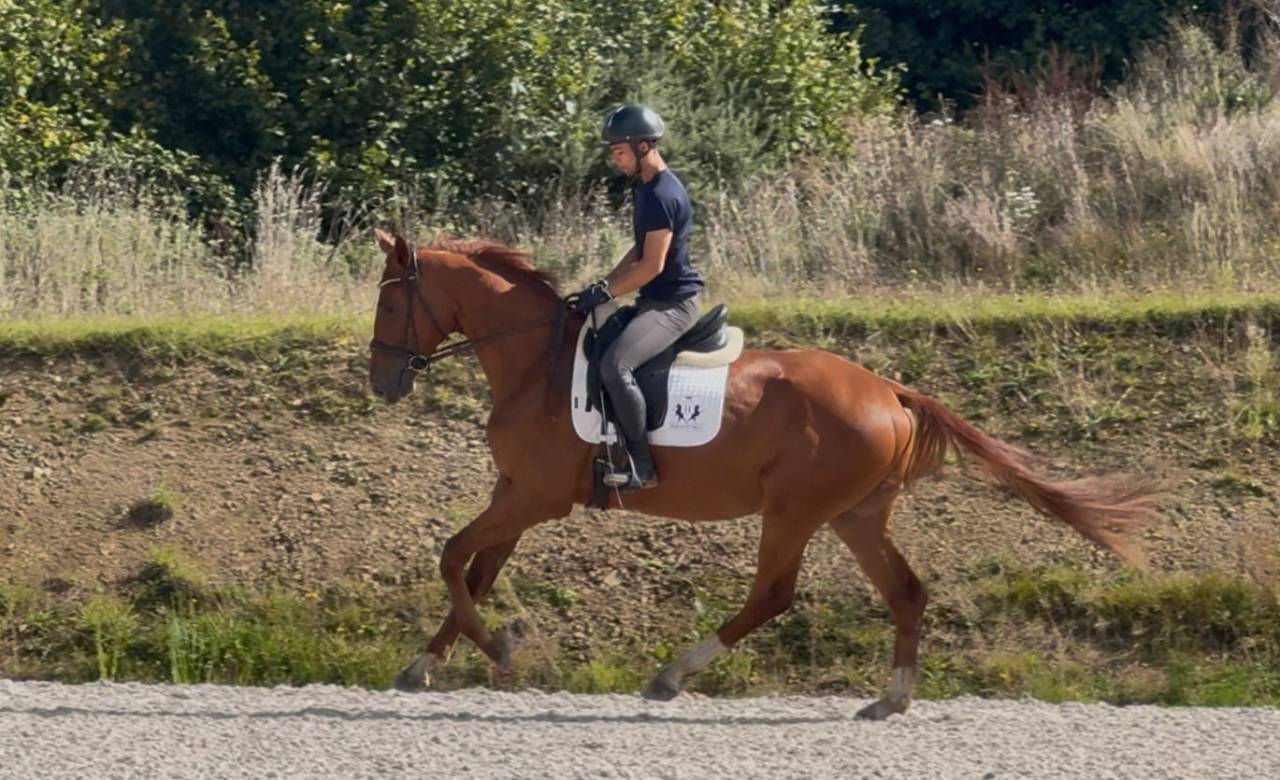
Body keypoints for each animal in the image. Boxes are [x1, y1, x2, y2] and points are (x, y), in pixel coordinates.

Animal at [367, 230, 1157, 719]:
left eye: (390, 300)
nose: (383, 381)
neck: (537, 361)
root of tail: (890, 391)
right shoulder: (515, 493)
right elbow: (474, 573)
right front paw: (426, 663)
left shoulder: (536, 496)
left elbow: (453, 557)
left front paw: (493, 647)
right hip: (855, 514)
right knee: (905, 592)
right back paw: (891, 698)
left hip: (795, 510)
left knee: (773, 594)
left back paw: (674, 674)